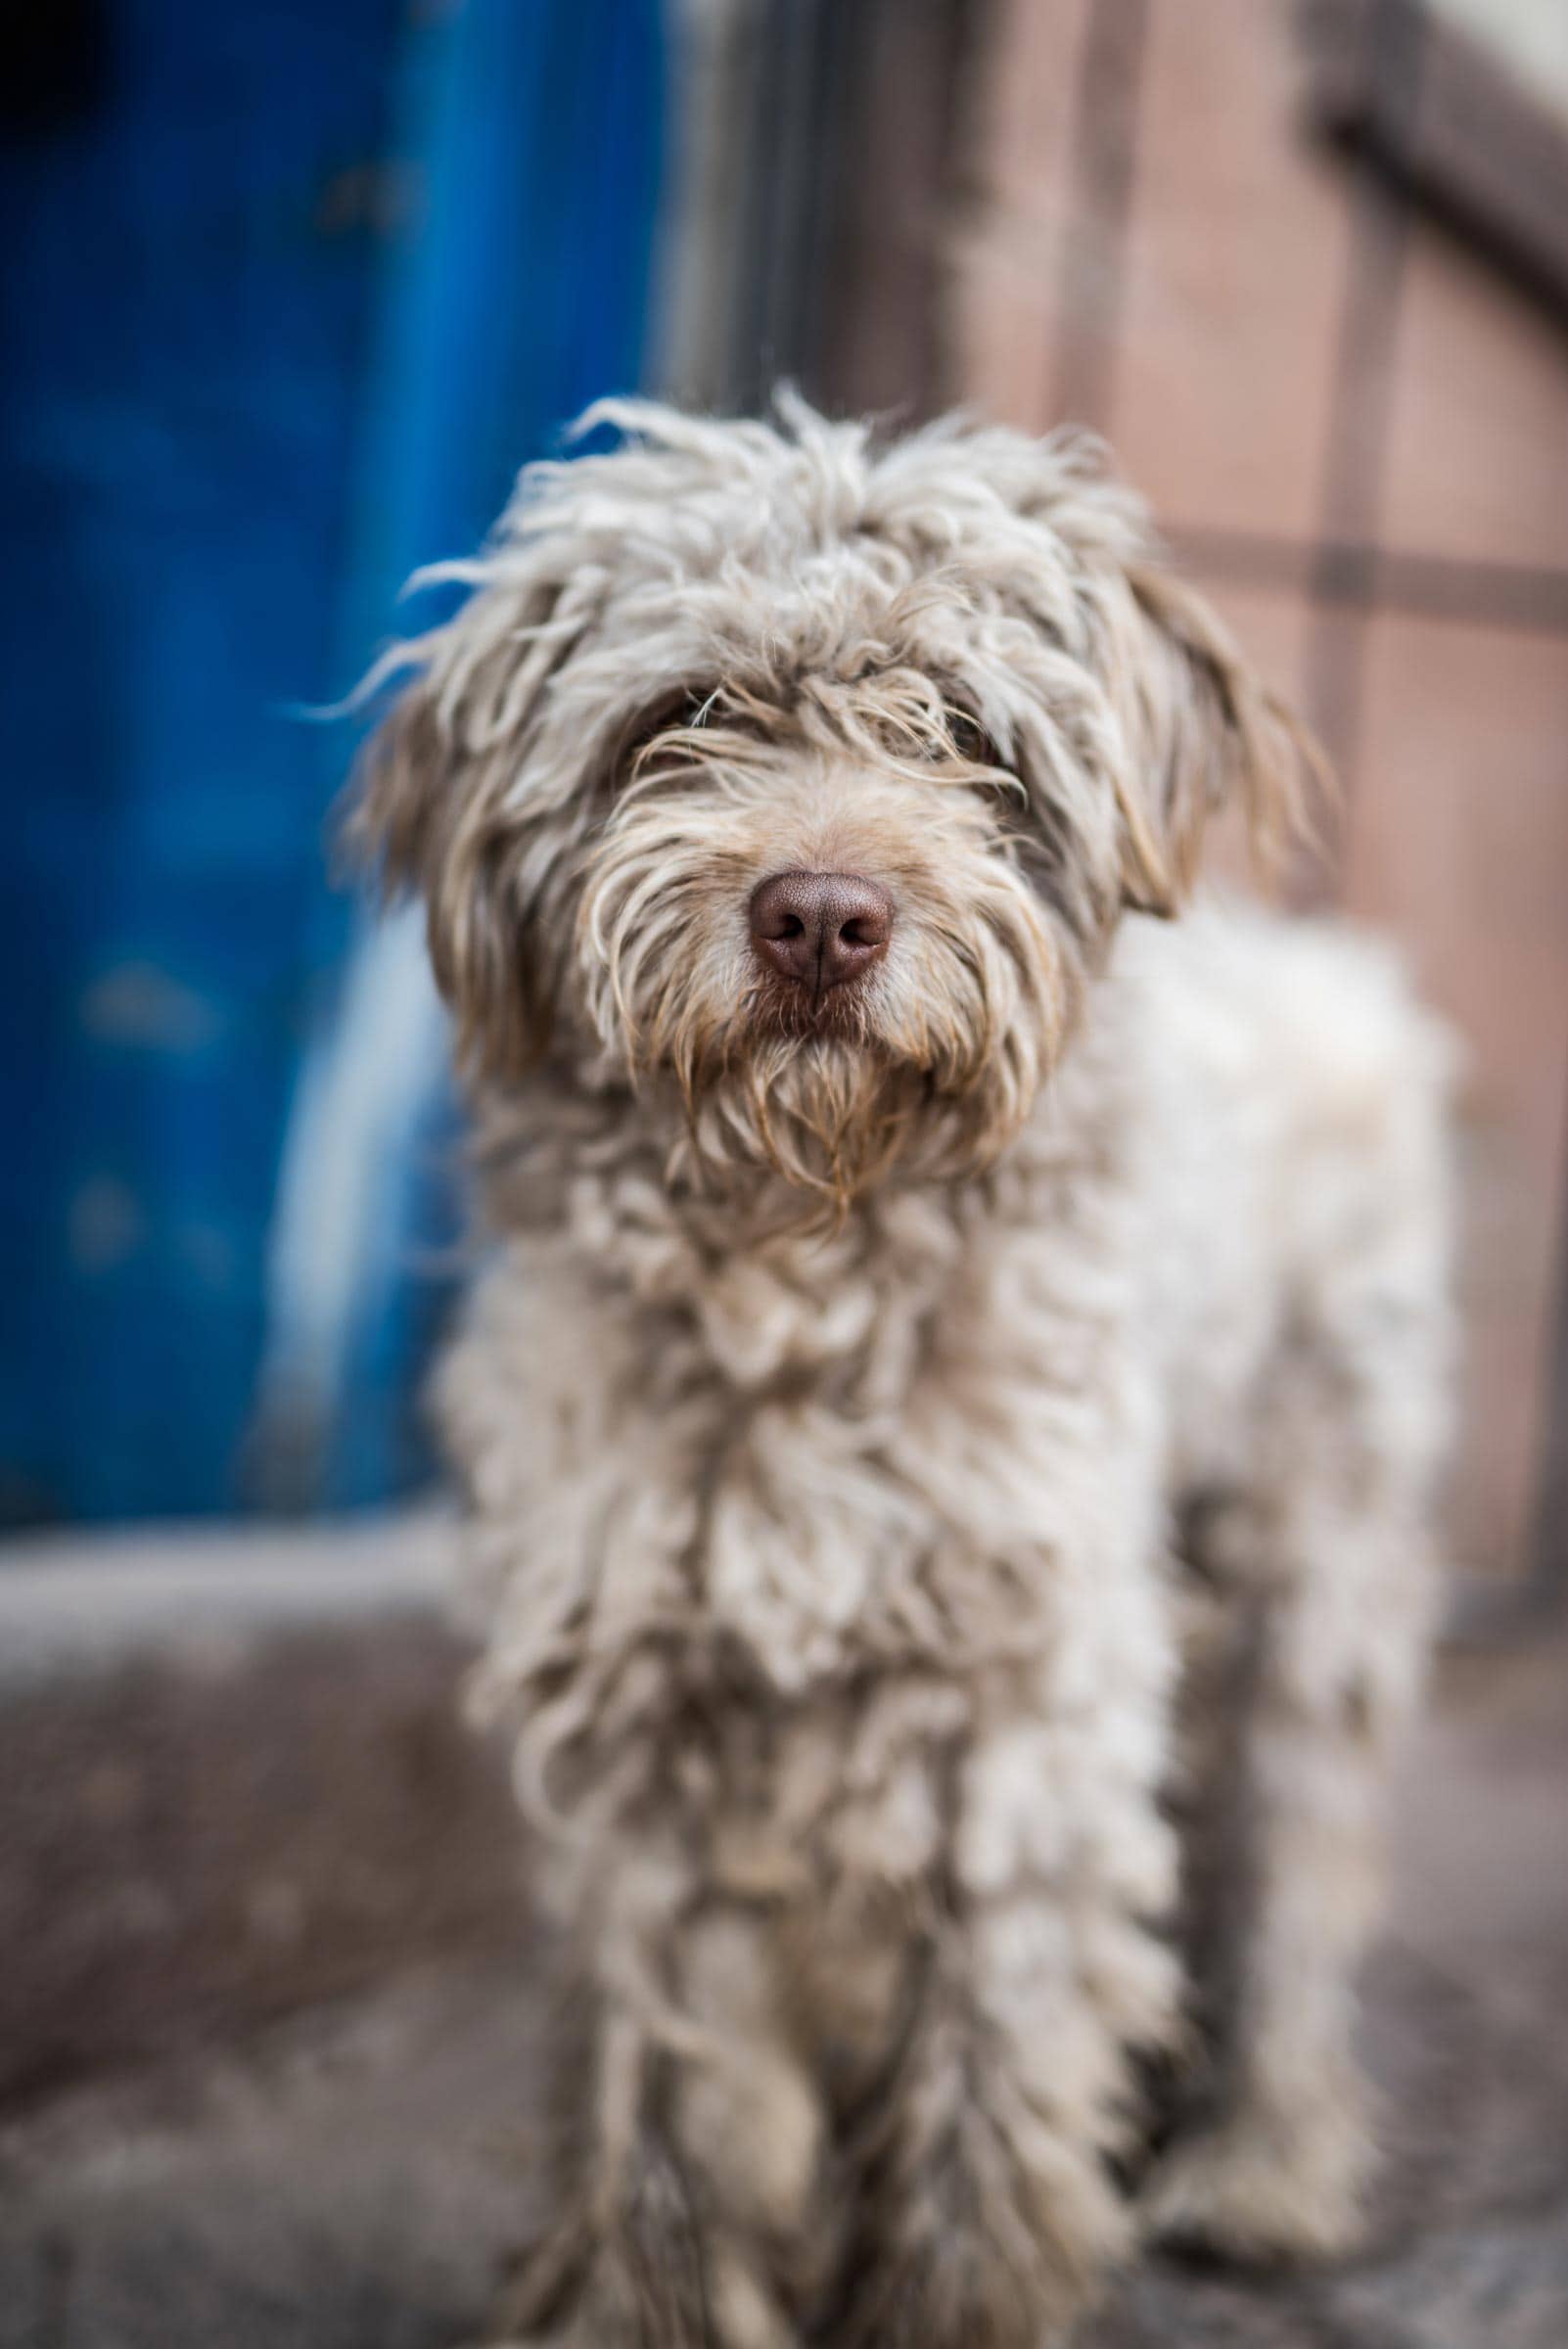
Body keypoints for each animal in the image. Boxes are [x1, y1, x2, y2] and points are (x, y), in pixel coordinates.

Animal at [349, 403, 1454, 2349]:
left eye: (958, 725)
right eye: (684, 715)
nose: (820, 918)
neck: (803, 1255)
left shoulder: (1023, 1706)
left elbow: (987, 2078)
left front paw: (962, 2289)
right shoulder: (644, 1717)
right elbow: (668, 2087)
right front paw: (656, 2297)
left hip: (1315, 1574)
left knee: (1299, 1881)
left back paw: (1260, 2160)